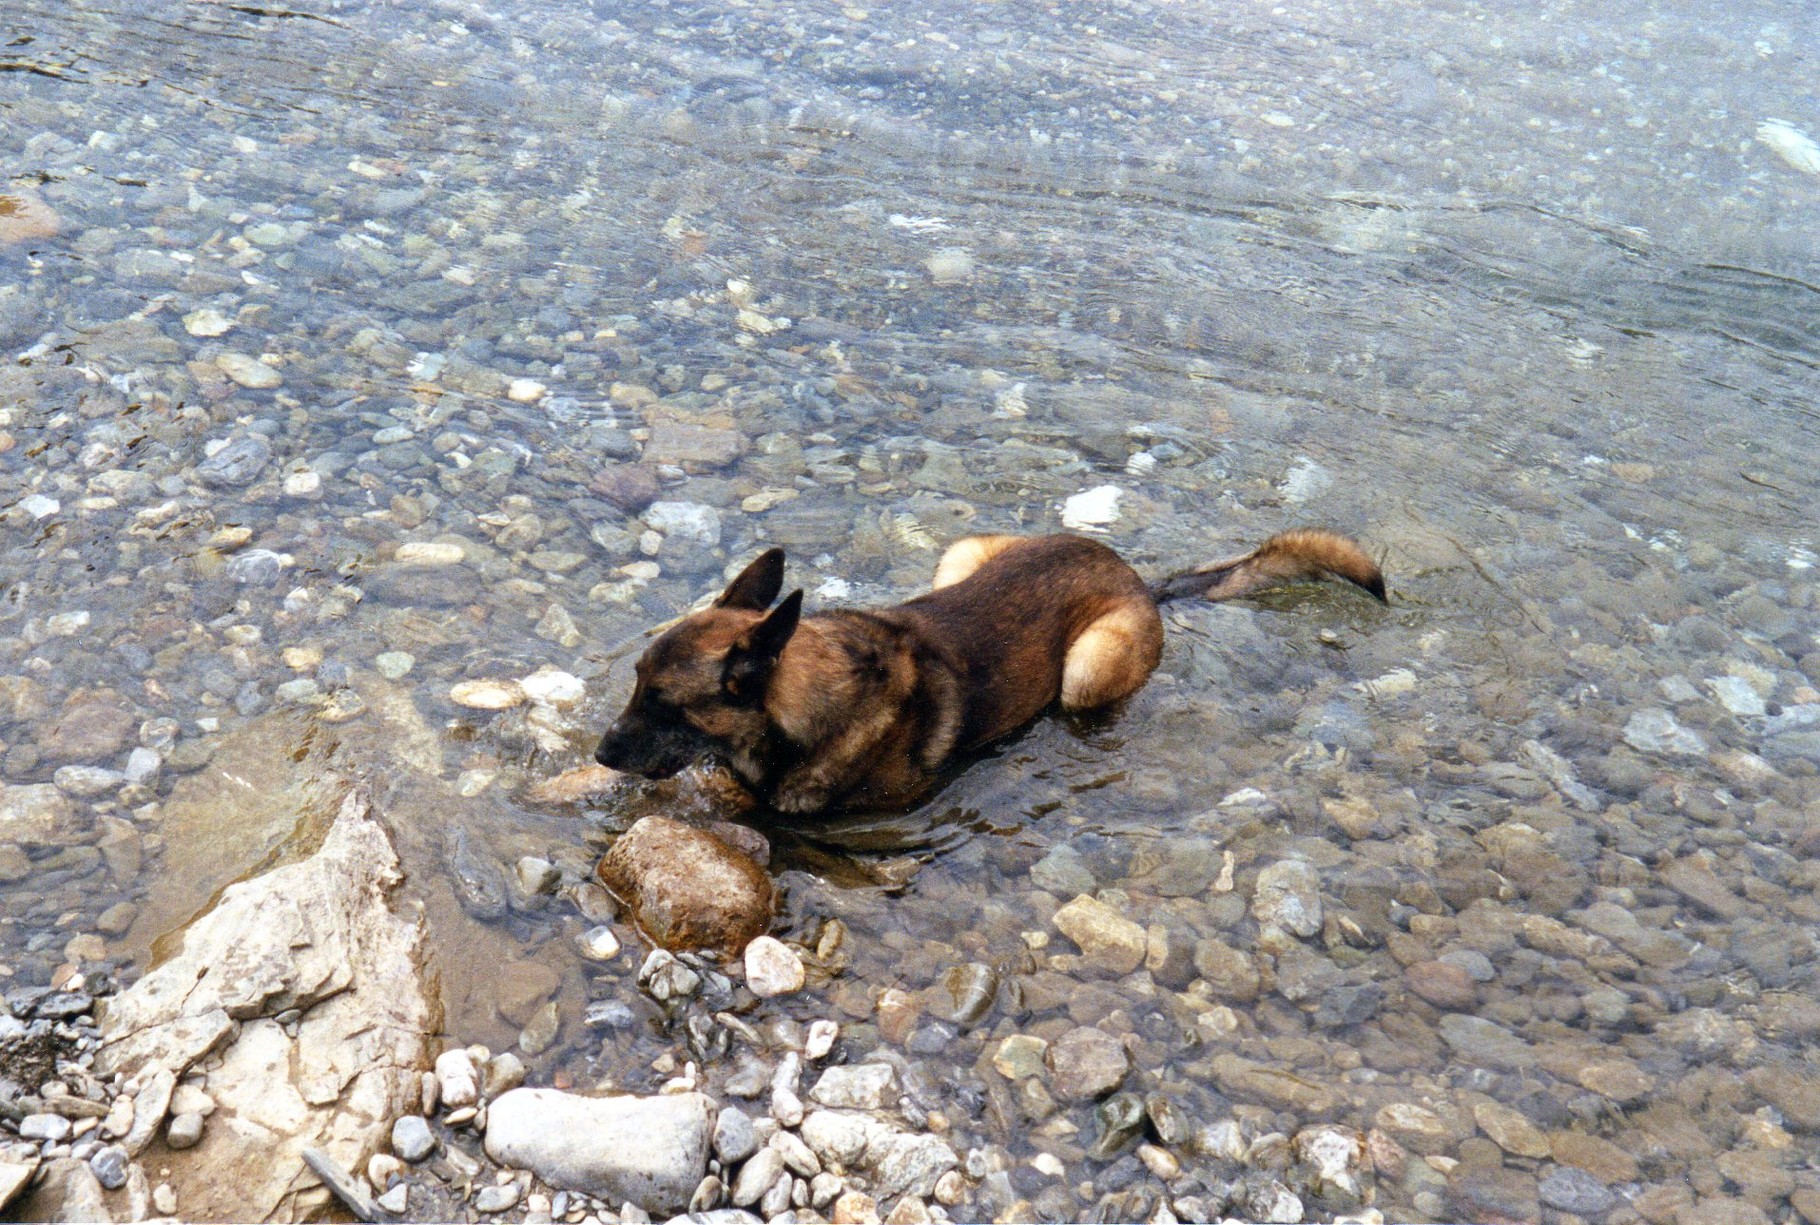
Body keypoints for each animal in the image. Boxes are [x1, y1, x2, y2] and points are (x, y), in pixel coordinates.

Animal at [589, 524, 1383, 811]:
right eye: (635, 683)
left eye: (664, 704)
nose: (597, 753)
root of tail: (1135, 577)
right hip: (961, 553)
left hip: (1086, 670)